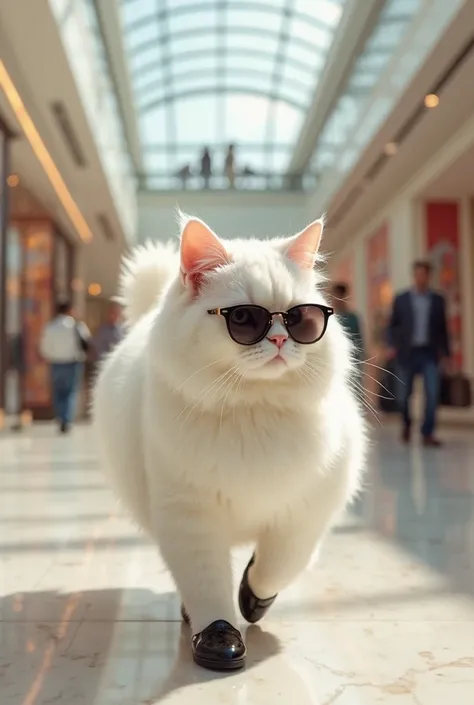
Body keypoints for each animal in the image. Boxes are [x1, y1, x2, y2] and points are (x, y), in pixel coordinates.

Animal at [92, 214, 366, 672]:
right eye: (244, 318)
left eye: (301, 319)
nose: (279, 340)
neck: (252, 410)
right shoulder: (189, 515)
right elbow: (207, 586)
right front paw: (219, 638)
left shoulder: (307, 511)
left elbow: (278, 564)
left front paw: (253, 599)